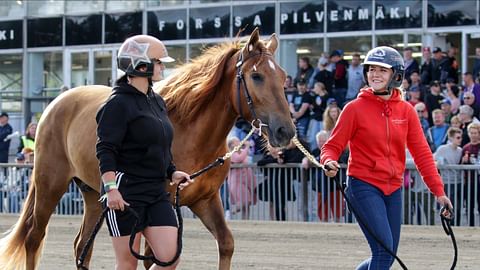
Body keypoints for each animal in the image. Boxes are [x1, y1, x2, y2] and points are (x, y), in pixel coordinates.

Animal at [0, 28, 296, 268]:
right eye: (256, 75)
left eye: (283, 76)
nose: (286, 131)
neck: (190, 131)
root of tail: (54, 105)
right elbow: (151, 259)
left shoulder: (205, 199)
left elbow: (226, 243)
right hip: (50, 184)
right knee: (33, 237)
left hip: (94, 195)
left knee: (82, 247)